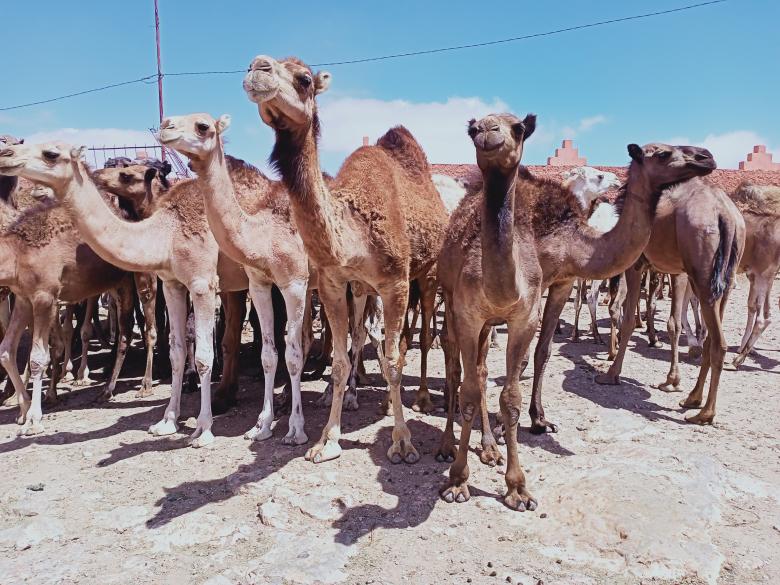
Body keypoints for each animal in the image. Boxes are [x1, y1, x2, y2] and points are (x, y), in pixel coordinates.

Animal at [1, 141, 253, 447]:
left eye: (50, 153)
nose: (6, 155)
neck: (165, 232)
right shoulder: (172, 282)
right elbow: (177, 351)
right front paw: (167, 422)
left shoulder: (203, 283)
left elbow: (204, 354)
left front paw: (203, 429)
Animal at [158, 112, 311, 445]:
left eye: (203, 126)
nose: (165, 126)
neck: (262, 233)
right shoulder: (260, 283)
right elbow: (269, 354)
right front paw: (262, 425)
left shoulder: (294, 282)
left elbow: (293, 355)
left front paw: (296, 429)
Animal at [244, 54, 448, 464]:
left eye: (305, 79)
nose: (257, 68)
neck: (354, 231)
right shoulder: (334, 285)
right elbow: (338, 362)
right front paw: (327, 440)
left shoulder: (395, 283)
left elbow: (393, 362)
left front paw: (403, 443)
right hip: (362, 288)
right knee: (369, 337)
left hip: (427, 273)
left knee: (420, 334)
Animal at [437, 113, 543, 511]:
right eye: (472, 130)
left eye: (519, 128)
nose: (488, 132)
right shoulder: (468, 316)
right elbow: (467, 391)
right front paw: (457, 481)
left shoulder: (524, 319)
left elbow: (510, 399)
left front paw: (518, 488)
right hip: (451, 302)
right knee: (458, 371)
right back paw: (447, 445)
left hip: (488, 328)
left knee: (481, 371)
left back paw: (490, 447)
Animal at [595, 170, 745, 425]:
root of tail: (725, 214)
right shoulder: (677, 271)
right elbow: (673, 321)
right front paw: (672, 380)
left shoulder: (636, 264)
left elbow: (628, 319)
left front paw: (612, 373)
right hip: (725, 278)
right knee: (711, 338)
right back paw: (692, 398)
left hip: (703, 275)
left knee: (719, 342)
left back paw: (705, 413)